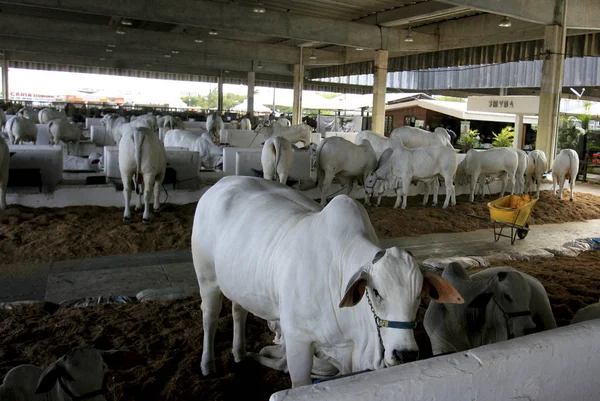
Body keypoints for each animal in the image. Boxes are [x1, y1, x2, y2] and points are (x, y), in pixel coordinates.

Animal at [192, 177, 464, 386]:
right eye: (376, 292)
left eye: (419, 295)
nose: (405, 354)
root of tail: (222, 182)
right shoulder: (297, 338)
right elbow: (299, 383)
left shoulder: (346, 353)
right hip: (207, 278)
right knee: (210, 316)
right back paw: (207, 364)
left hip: (238, 283)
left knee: (239, 310)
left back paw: (239, 353)